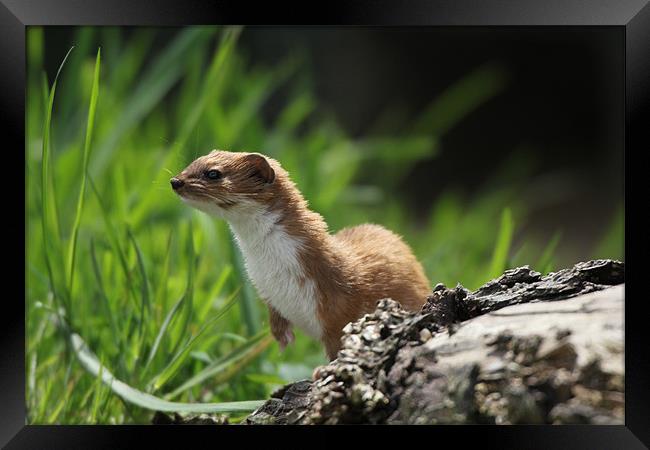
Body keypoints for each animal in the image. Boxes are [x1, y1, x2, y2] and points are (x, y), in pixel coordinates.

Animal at [171, 149, 430, 360]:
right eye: (193, 162)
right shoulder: (269, 294)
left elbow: (337, 345)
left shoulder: (339, 308)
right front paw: (281, 337)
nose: (175, 181)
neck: (273, 272)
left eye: (213, 173)